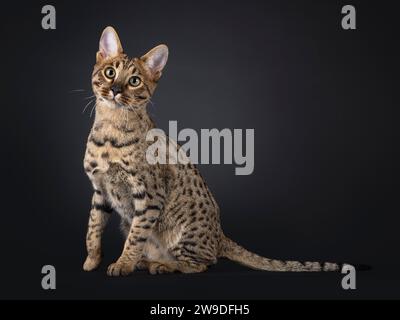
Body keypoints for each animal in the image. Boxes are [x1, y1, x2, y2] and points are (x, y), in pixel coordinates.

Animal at [83, 26, 350, 276]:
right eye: (110, 73)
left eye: (134, 81)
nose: (116, 90)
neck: (110, 133)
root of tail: (221, 235)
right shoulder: (100, 190)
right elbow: (93, 228)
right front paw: (92, 260)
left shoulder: (149, 195)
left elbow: (135, 237)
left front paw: (123, 264)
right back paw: (147, 261)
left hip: (183, 233)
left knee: (201, 263)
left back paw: (161, 265)